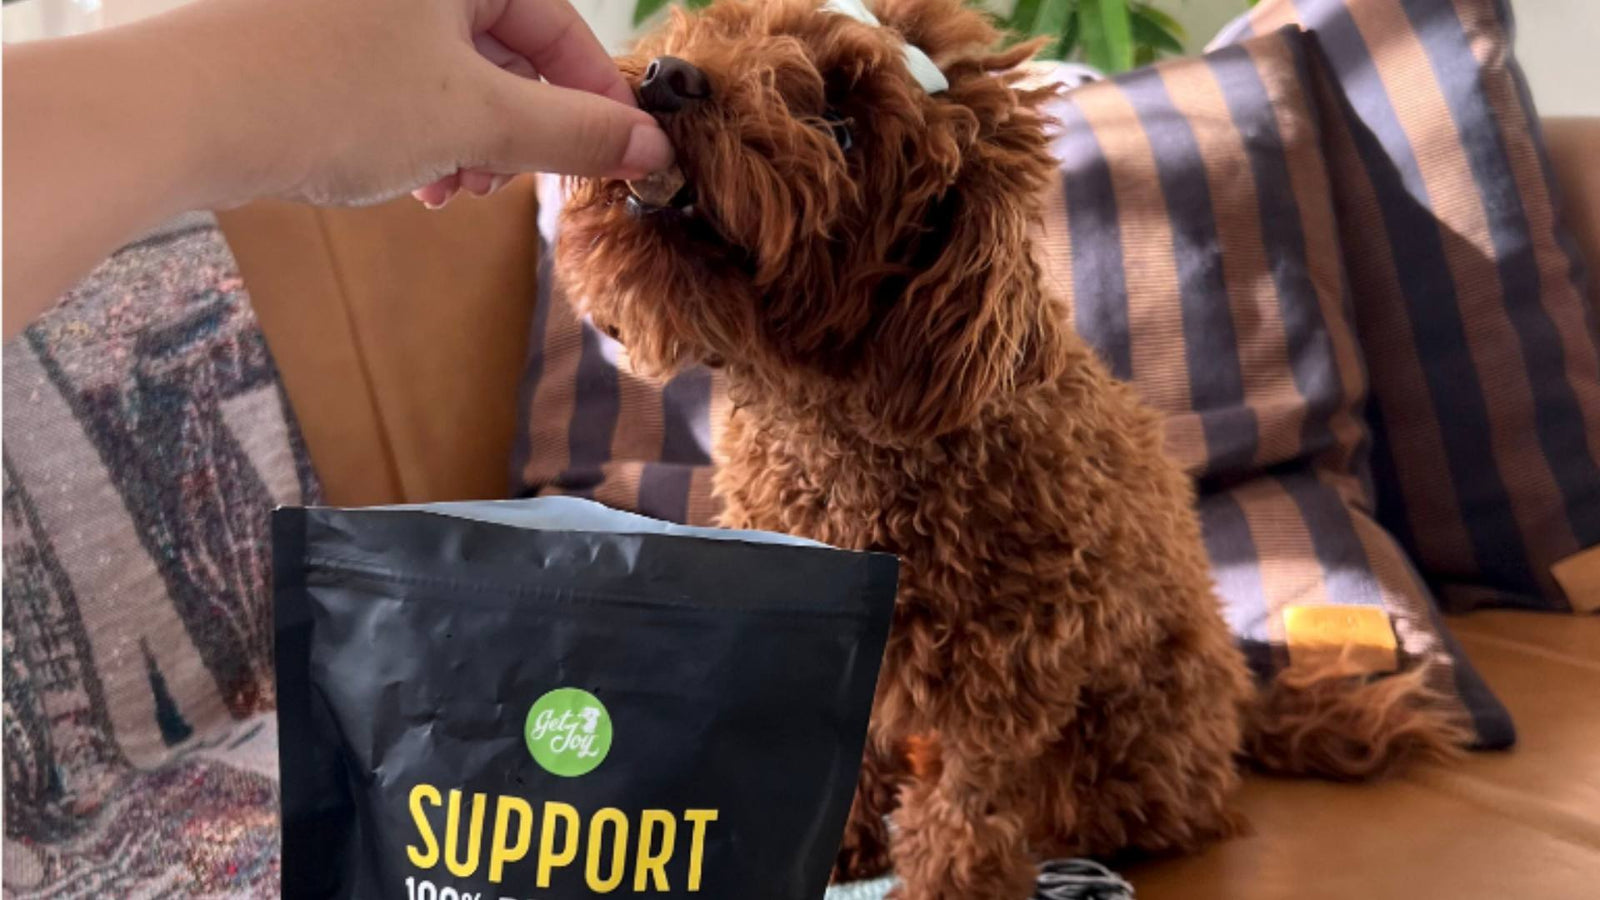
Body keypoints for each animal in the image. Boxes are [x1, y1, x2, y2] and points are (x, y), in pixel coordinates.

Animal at [556, 1, 1465, 896]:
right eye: (733, 31)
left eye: (842, 130)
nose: (670, 76)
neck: (830, 420)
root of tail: (1243, 706)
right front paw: (838, 840)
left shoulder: (1013, 654)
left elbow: (970, 791)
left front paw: (945, 880)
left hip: (1124, 748)